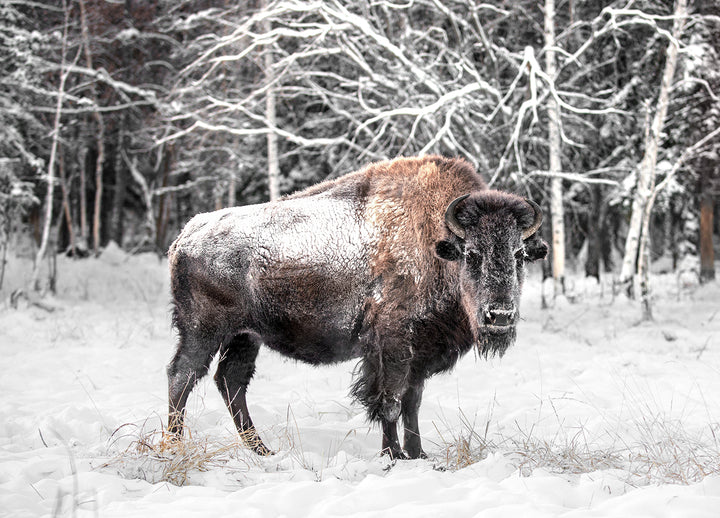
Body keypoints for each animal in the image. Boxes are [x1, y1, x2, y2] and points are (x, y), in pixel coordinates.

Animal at [166, 155, 547, 459]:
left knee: (231, 381)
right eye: (472, 254)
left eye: (519, 255)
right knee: (182, 376)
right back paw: (173, 446)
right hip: (204, 331)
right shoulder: (392, 344)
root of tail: (185, 235)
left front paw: (419, 454)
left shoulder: (421, 351)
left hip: (246, 336)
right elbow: (390, 401)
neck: (436, 245)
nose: (500, 315)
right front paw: (394, 456)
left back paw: (263, 450)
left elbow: (412, 402)